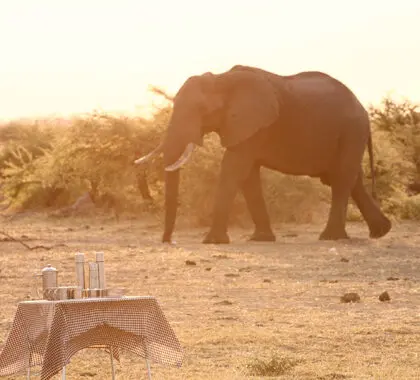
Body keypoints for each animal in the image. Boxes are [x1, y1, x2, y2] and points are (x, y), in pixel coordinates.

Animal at [136, 64, 392, 243]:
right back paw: (380, 232)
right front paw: (260, 239)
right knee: (350, 179)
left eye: (201, 109)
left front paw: (212, 241)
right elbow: (248, 175)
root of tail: (362, 107)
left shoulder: (255, 125)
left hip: (351, 130)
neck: (222, 79)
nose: (168, 241)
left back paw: (331, 237)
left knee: (341, 177)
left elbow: (233, 167)